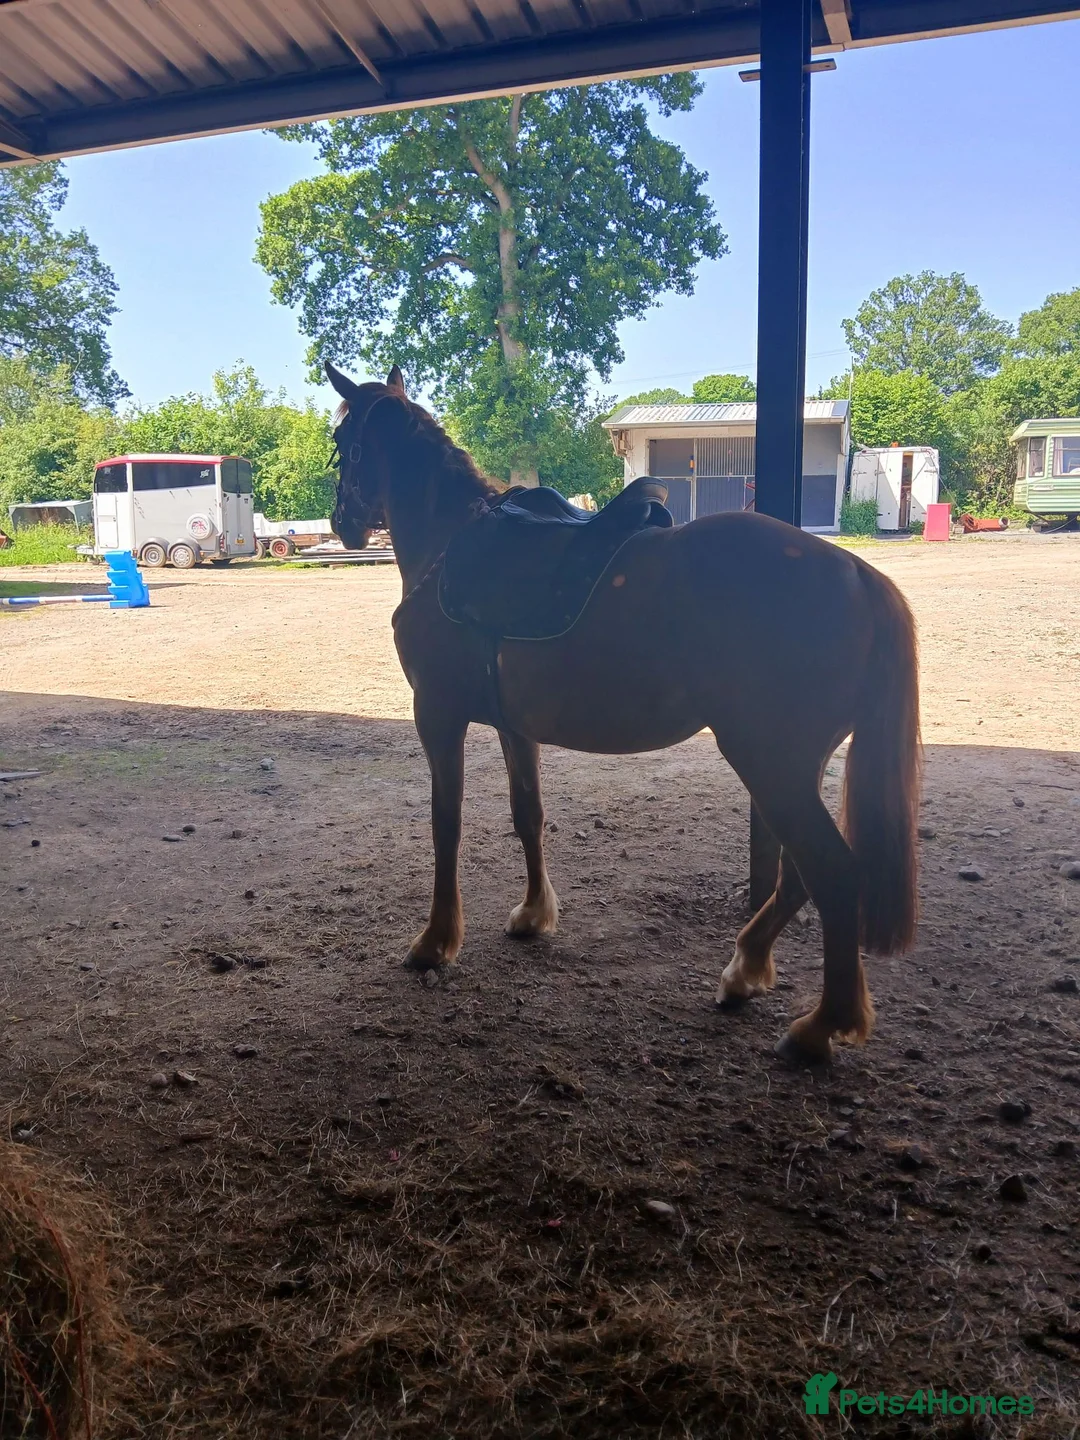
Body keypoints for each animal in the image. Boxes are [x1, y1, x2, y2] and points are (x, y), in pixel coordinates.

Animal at [327, 362, 920, 1064]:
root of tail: (858, 574)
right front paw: (534, 915)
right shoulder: (514, 728)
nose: (340, 520)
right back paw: (747, 969)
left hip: (769, 763)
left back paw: (820, 1024)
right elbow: (528, 815)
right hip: (786, 769)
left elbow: (447, 825)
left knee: (832, 874)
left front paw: (436, 941)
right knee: (803, 876)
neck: (451, 546)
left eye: (342, 445)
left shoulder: (437, 715)